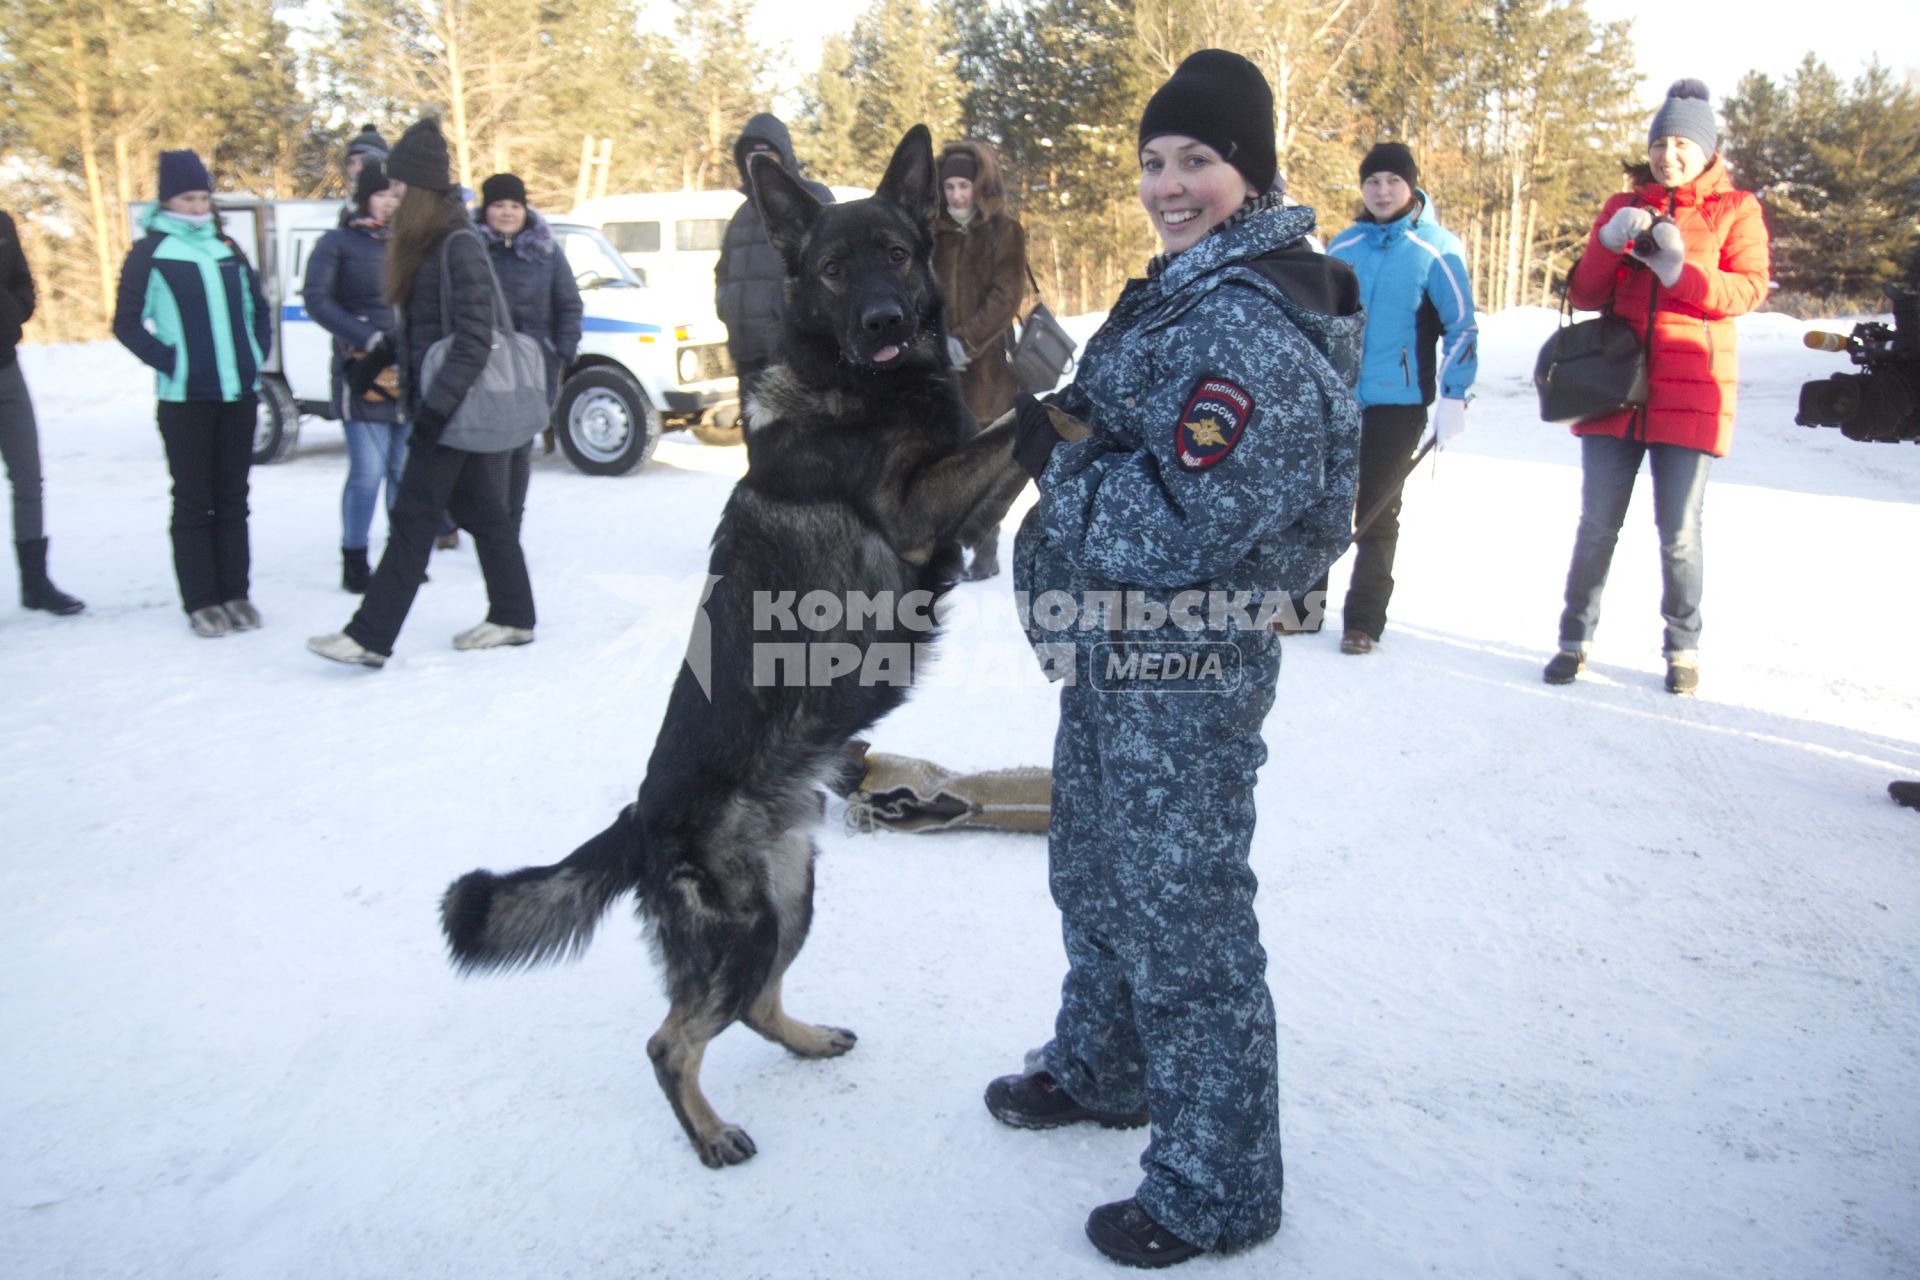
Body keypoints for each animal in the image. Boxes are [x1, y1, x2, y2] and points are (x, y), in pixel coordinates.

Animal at [439, 127, 1036, 1174]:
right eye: (833, 270)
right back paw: (712, 1133)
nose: (884, 322)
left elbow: (1007, 440)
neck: (858, 383)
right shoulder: (919, 508)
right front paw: (1079, 395)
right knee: (670, 1040)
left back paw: (807, 1040)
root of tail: (641, 819)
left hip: (791, 901)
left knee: (754, 1005)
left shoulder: (952, 513)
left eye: (896, 254)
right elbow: (1024, 419)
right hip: (749, 922)